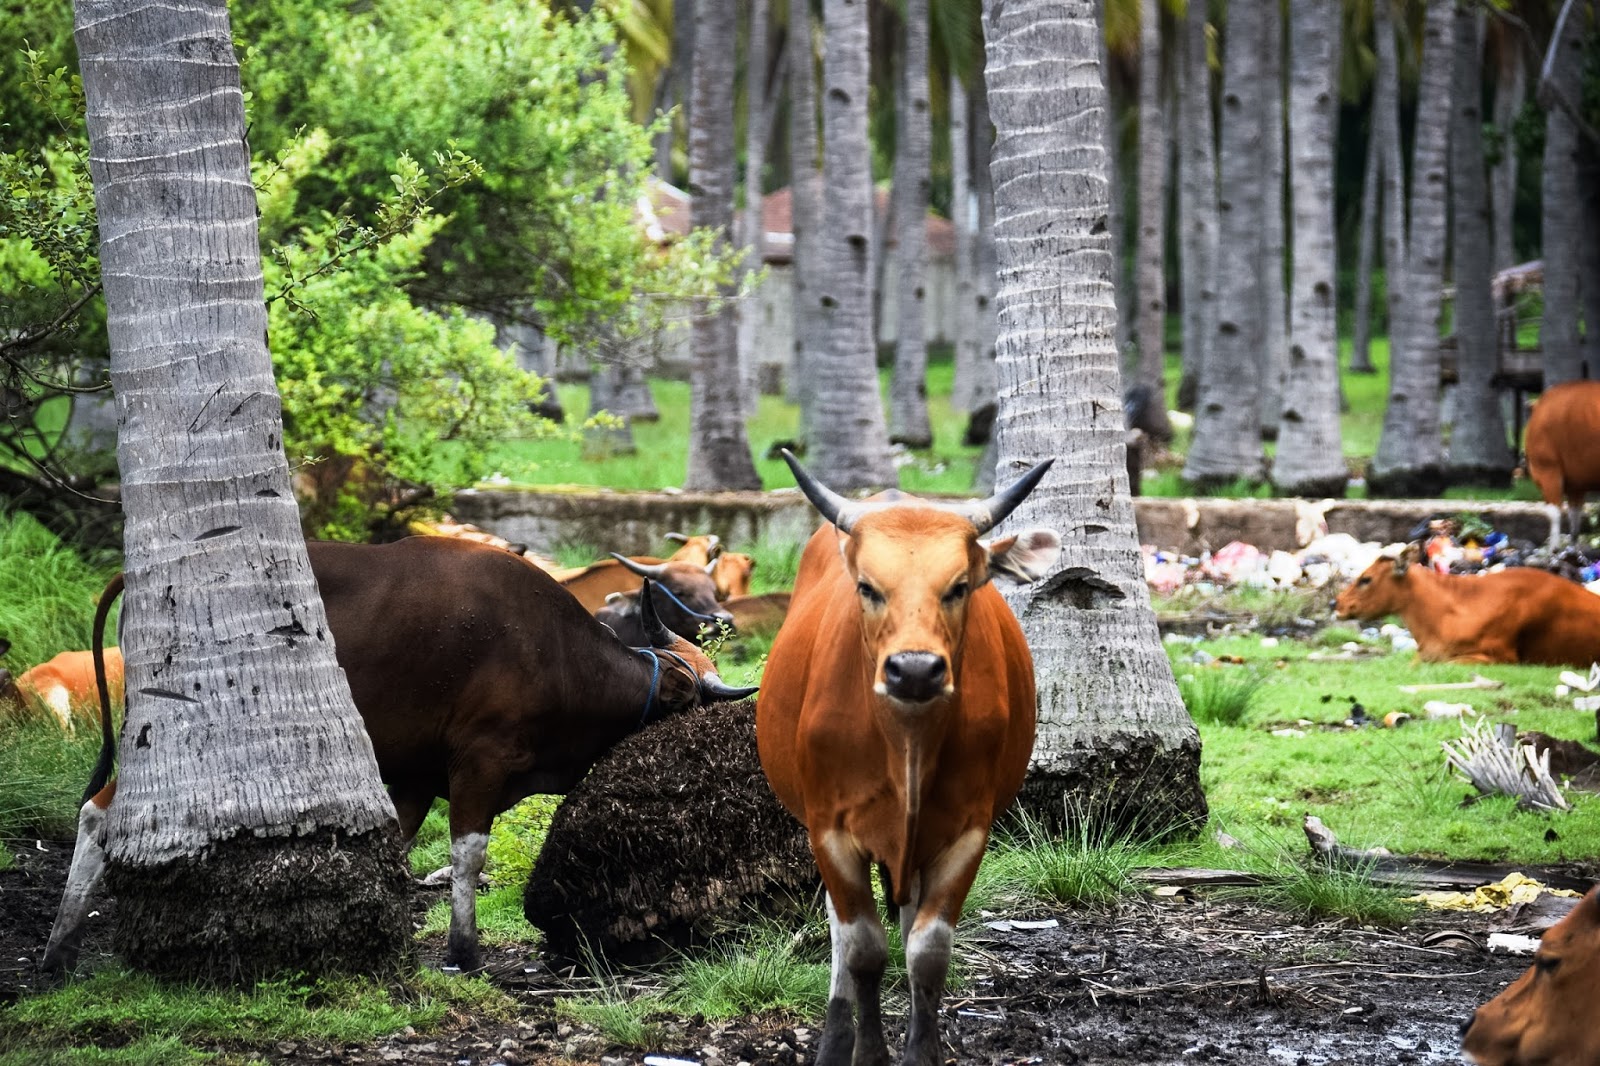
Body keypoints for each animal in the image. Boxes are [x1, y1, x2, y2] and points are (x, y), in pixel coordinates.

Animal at [41, 537, 757, 976]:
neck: (558, 657)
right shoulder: (481, 761)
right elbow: (467, 855)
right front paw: (461, 950)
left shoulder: (413, 779)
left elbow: (395, 850)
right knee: (99, 813)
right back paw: (59, 946)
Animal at [756, 450, 1060, 1066]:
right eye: (868, 588)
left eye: (960, 586)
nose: (915, 670)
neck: (906, 746)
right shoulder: (830, 830)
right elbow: (863, 949)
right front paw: (867, 1051)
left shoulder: (967, 831)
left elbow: (927, 950)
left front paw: (923, 1051)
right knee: (842, 935)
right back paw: (836, 1037)